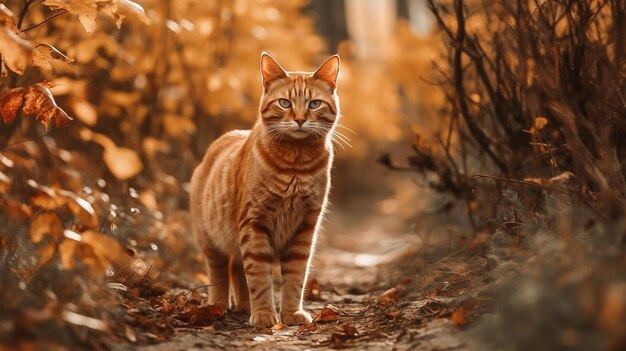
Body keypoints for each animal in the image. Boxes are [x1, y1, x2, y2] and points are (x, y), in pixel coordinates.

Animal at [189, 53, 338, 330]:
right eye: (284, 102)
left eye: (314, 104)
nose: (299, 119)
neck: (295, 167)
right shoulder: (254, 223)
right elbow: (259, 277)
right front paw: (264, 314)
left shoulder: (304, 229)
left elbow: (295, 278)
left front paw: (290, 314)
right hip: (210, 240)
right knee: (220, 273)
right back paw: (219, 306)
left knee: (237, 269)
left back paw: (243, 306)